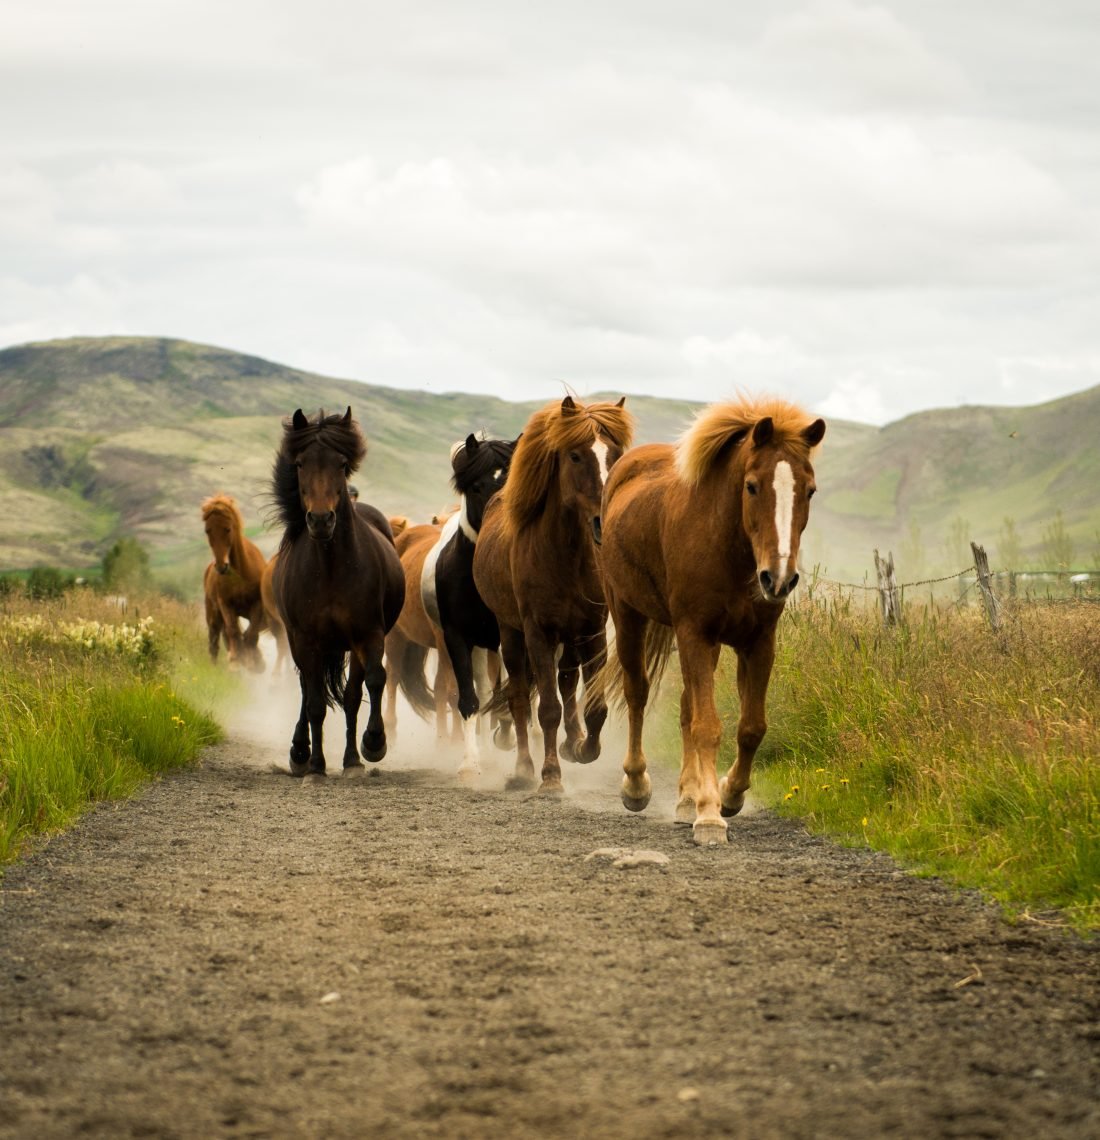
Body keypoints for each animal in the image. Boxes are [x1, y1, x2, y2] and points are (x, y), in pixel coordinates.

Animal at [201, 494, 268, 671]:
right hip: (213, 616)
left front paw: (253, 661)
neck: (240, 573)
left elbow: (251, 634)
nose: (221, 566)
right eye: (208, 530)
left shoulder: (257, 605)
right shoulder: (226, 604)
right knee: (214, 643)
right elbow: (233, 631)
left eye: (227, 529)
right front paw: (236, 661)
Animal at [270, 407, 405, 776]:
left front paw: (371, 745)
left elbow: (370, 683)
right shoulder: (306, 640)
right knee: (306, 690)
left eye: (342, 464)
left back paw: (351, 756)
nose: (320, 520)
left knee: (352, 693)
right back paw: (300, 752)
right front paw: (316, 764)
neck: (329, 567)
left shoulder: (368, 634)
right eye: (300, 463)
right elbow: (315, 702)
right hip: (298, 642)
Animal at [418, 433, 520, 779]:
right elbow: (470, 699)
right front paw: (470, 764)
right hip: (480, 646)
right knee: (487, 691)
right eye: (476, 486)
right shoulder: (457, 637)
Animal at [473, 396, 634, 793]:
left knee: (567, 682)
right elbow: (546, 708)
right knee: (519, 700)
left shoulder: (592, 632)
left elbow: (595, 707)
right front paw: (549, 776)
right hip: (512, 635)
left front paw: (580, 748)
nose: (603, 521)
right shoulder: (539, 633)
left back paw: (571, 740)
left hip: (570, 638)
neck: (566, 555)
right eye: (575, 456)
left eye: (616, 454)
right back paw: (523, 768)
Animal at [597, 396, 825, 844]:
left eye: (809, 490)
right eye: (752, 486)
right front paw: (708, 816)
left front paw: (727, 795)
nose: (779, 578)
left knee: (686, 707)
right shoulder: (695, 633)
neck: (727, 547)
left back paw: (686, 798)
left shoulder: (757, 641)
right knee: (637, 693)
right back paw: (637, 785)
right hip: (628, 614)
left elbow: (751, 726)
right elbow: (706, 726)